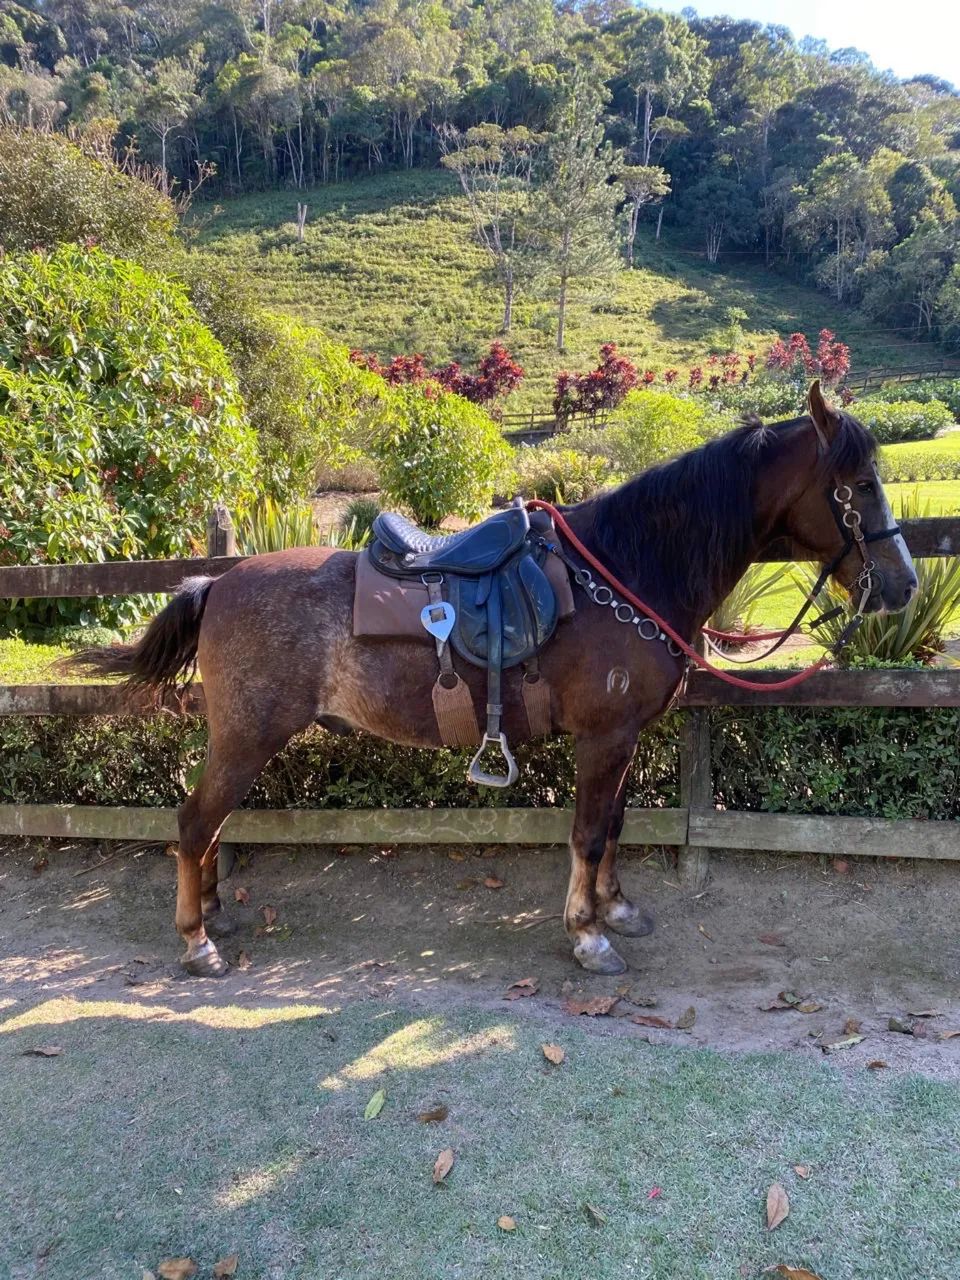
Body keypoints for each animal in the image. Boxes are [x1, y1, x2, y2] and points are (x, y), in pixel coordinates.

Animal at [70, 382, 917, 978]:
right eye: (858, 485)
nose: (903, 584)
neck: (628, 568)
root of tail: (216, 583)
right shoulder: (603, 738)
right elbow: (587, 832)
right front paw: (587, 937)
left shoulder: (622, 740)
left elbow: (614, 828)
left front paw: (617, 908)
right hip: (248, 735)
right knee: (192, 823)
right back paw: (196, 942)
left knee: (209, 826)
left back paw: (215, 915)